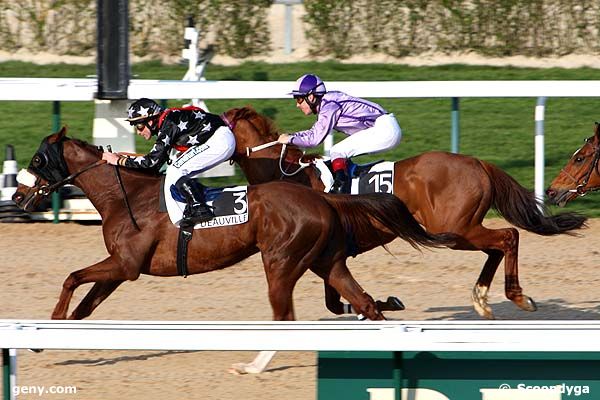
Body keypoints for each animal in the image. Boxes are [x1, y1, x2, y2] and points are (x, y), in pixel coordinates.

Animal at [11, 128, 452, 322]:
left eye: (36, 160)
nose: (16, 196)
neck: (127, 196)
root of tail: (322, 196)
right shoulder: (121, 268)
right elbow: (84, 306)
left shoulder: (126, 265)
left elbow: (71, 277)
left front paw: (51, 319)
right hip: (325, 260)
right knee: (362, 302)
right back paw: (379, 308)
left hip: (282, 263)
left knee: (286, 314)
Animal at [221, 105, 584, 318]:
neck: (290, 174)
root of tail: (477, 162)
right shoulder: (329, 253)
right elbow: (335, 303)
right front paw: (384, 303)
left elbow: (337, 300)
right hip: (461, 230)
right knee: (497, 245)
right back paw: (481, 299)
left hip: (454, 229)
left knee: (508, 237)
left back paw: (518, 297)